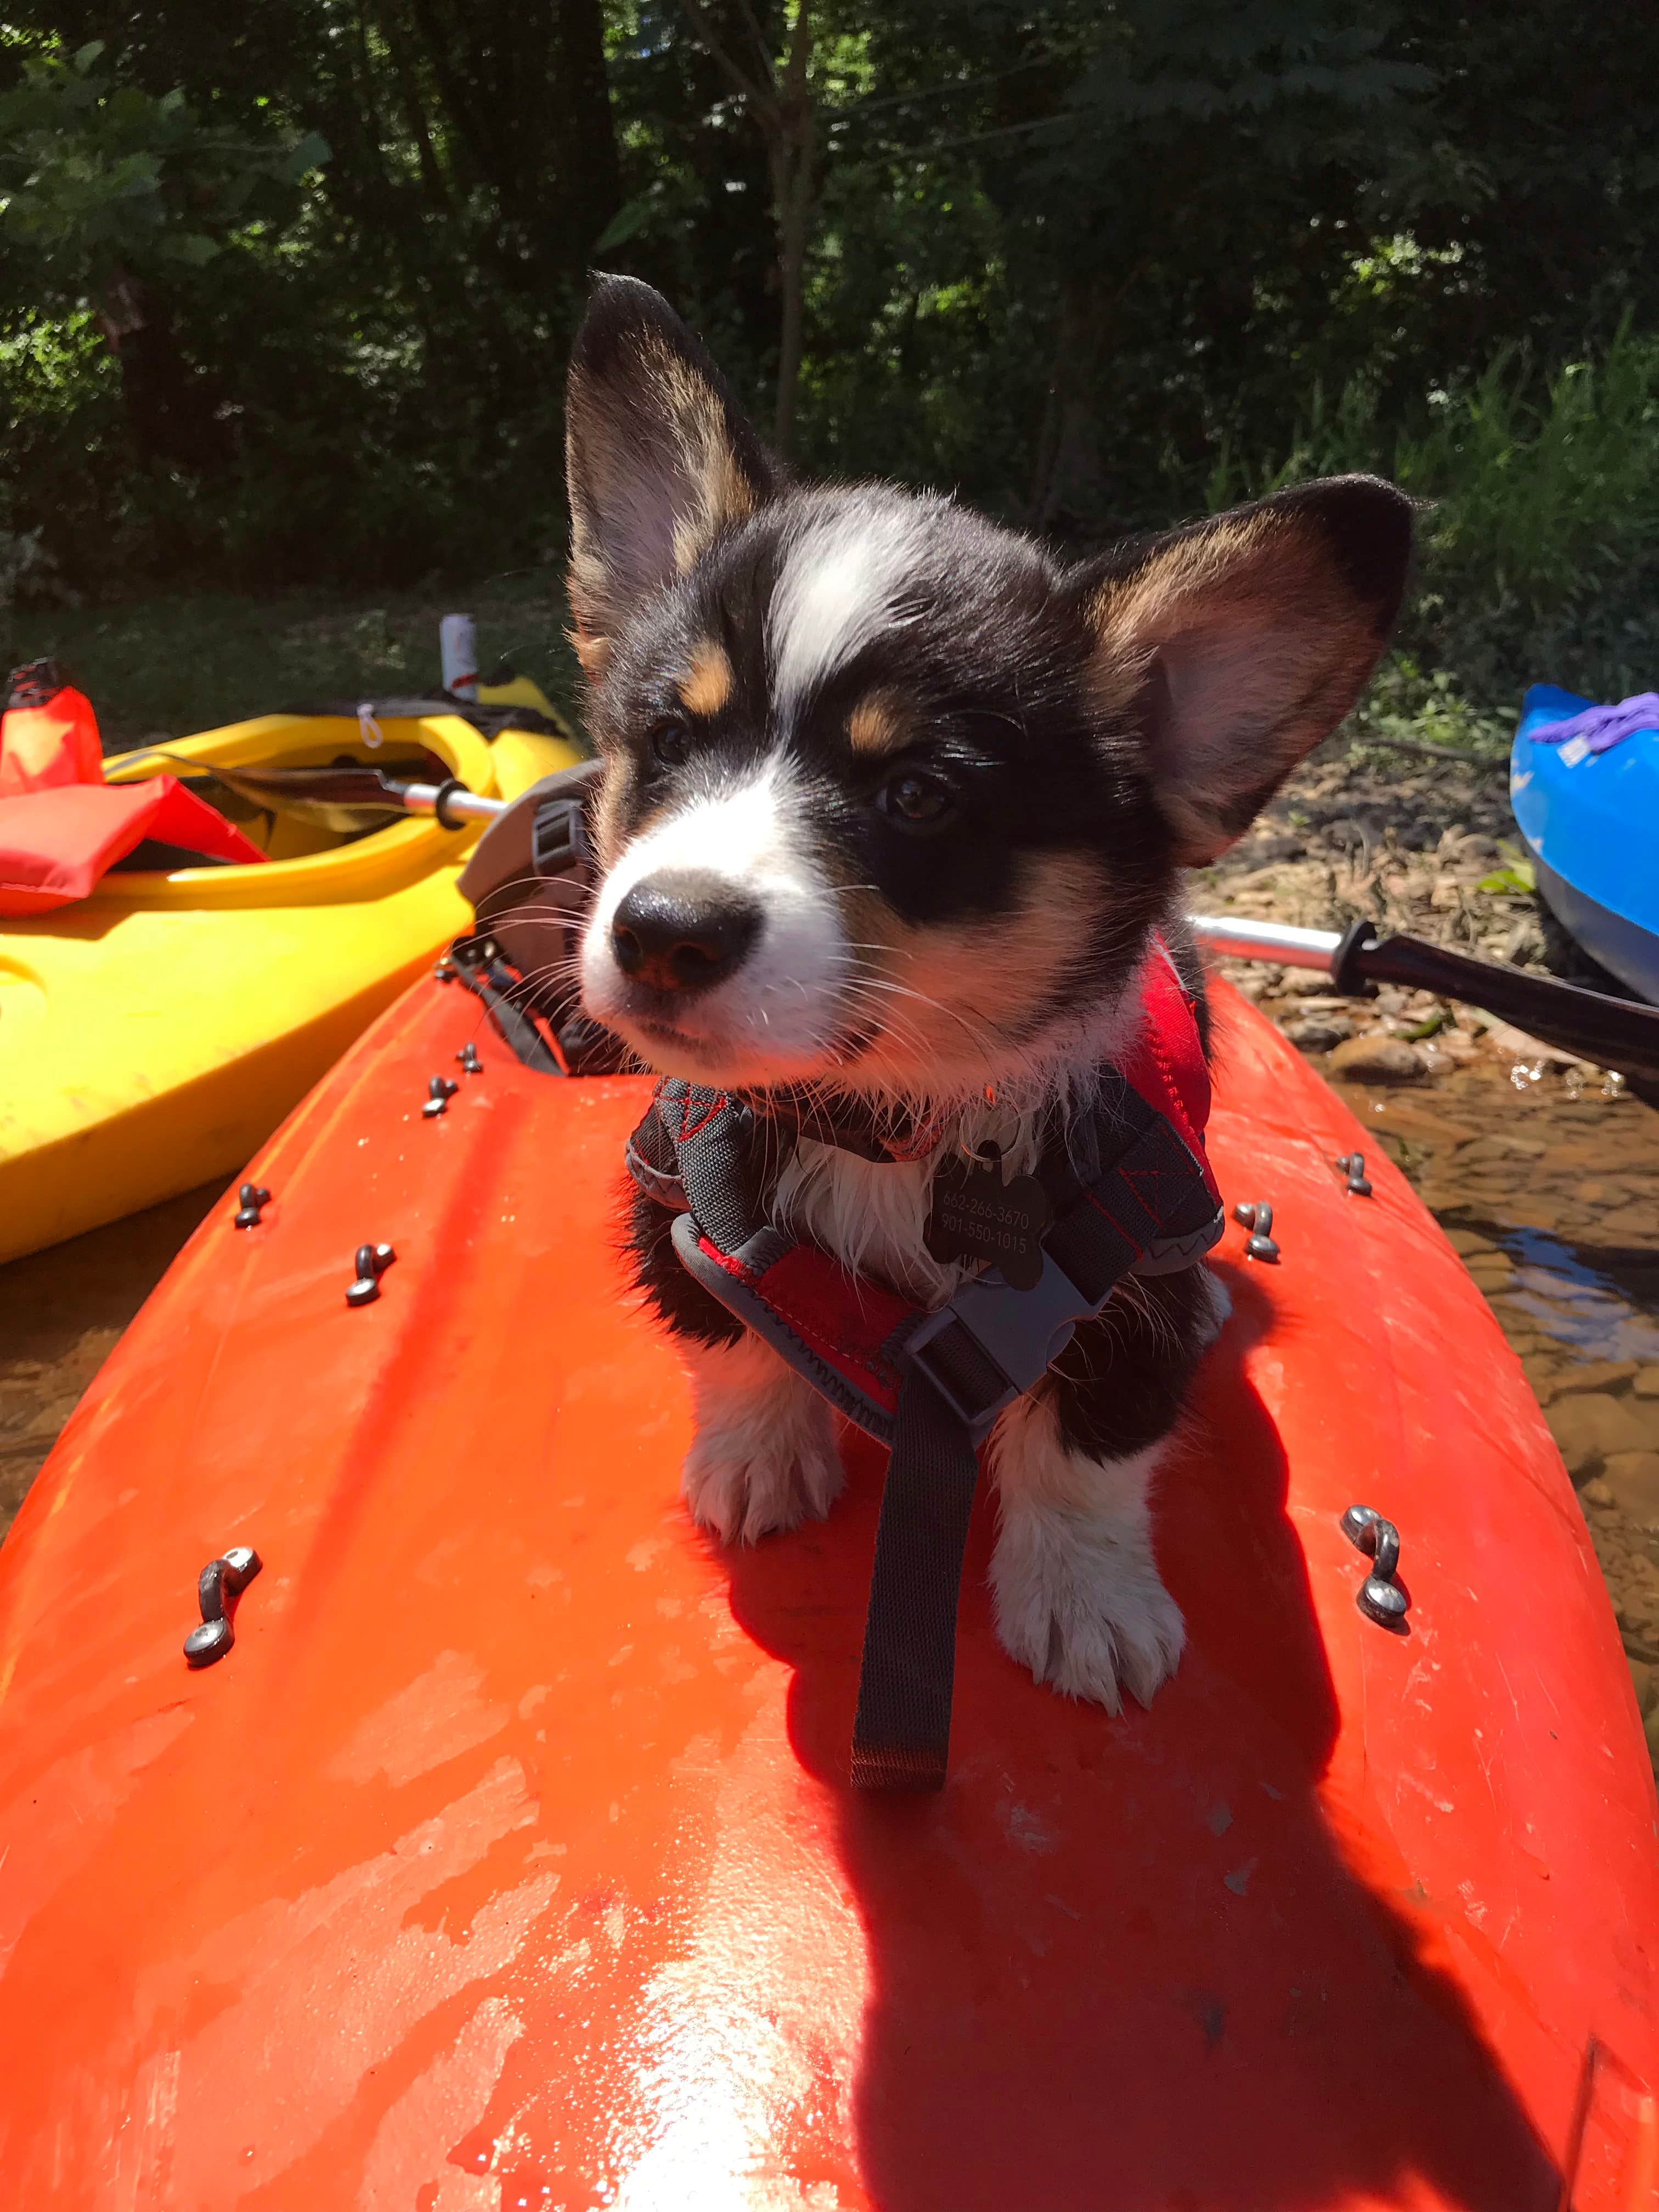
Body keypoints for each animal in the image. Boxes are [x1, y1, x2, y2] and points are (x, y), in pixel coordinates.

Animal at [571, 276, 1415, 1707]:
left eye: (918, 795)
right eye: (671, 741)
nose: (663, 933)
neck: (890, 1121)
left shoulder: (1130, 1277)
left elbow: (1086, 1454)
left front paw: (1087, 1605)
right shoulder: (675, 1200)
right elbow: (730, 1345)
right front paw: (755, 1462)